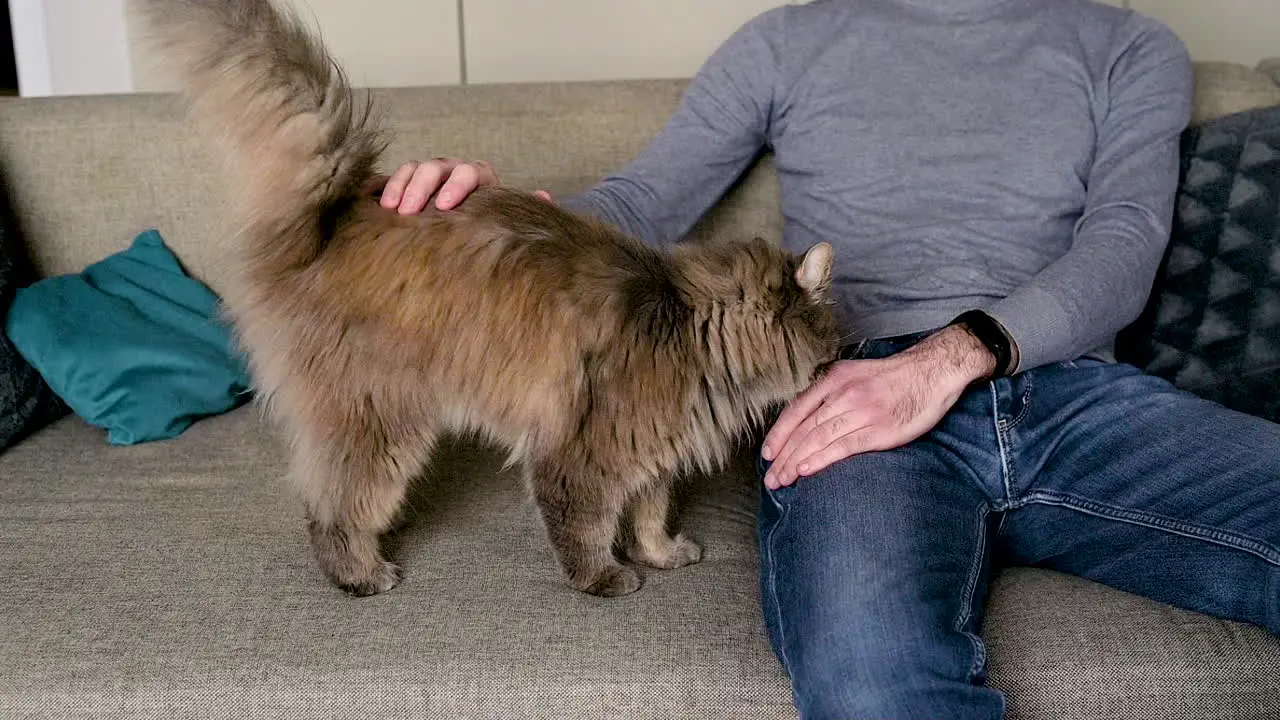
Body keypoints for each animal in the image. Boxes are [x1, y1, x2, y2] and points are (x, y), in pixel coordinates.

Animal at [137, 0, 839, 594]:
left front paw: (663, 553)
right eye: (829, 349)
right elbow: (587, 529)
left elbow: (649, 515)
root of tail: (341, 209)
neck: (686, 327)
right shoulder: (582, 454)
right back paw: (363, 574)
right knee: (330, 504)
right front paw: (606, 580)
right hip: (380, 417)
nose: (836, 367)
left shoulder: (652, 458)